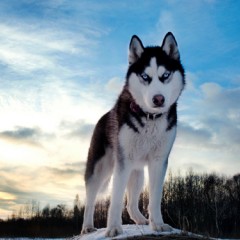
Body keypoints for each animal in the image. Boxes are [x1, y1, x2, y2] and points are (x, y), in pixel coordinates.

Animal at [81, 31, 185, 236]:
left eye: (165, 75)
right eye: (145, 76)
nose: (158, 99)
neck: (149, 118)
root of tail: (103, 117)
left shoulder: (158, 161)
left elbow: (155, 198)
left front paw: (158, 224)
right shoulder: (123, 162)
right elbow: (115, 199)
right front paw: (113, 227)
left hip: (137, 173)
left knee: (130, 203)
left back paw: (141, 219)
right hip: (100, 169)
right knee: (90, 200)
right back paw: (87, 226)